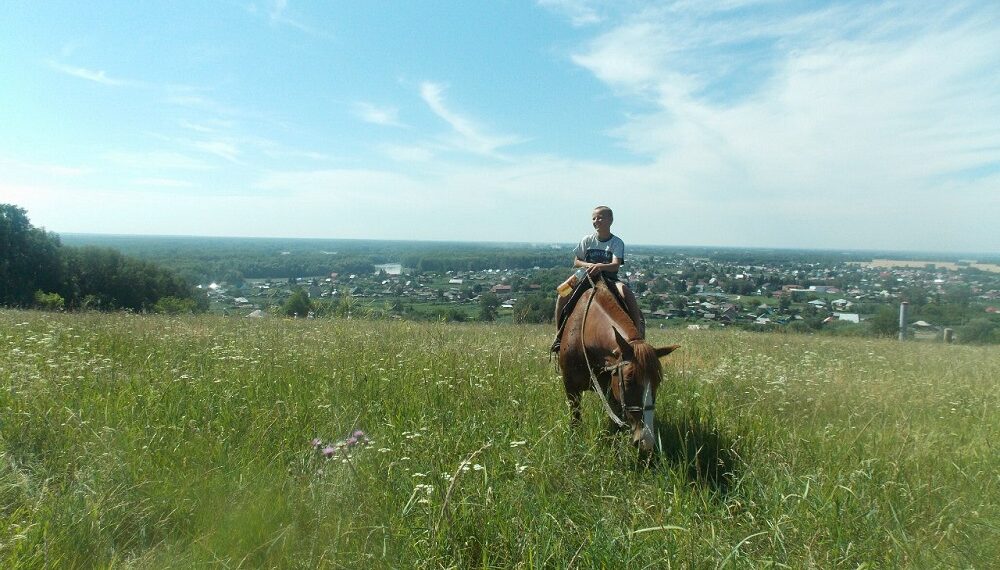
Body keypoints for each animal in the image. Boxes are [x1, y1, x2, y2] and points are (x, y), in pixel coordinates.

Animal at [556, 276, 680, 452]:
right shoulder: (571, 388)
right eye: (629, 381)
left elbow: (615, 424)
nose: (647, 442)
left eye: (658, 382)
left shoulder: (611, 390)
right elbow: (575, 419)